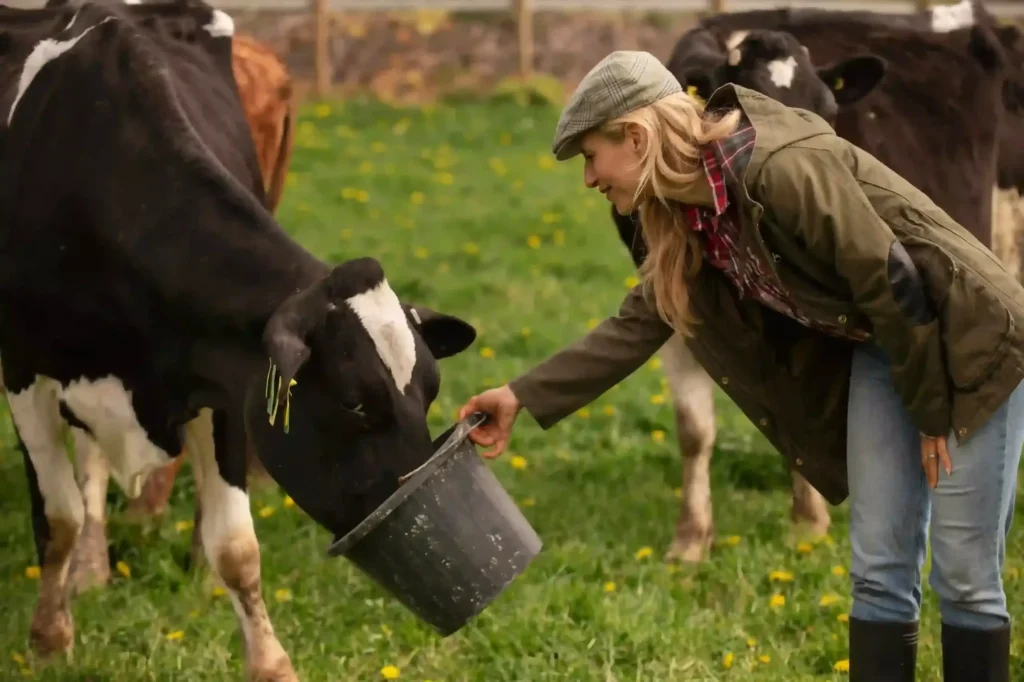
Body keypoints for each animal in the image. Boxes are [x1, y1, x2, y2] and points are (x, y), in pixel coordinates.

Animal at [0, 2, 477, 675]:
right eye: (354, 402)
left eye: (430, 393)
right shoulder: (23, 374)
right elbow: (58, 516)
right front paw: (49, 641)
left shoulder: (226, 380)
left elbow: (236, 547)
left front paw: (272, 665)